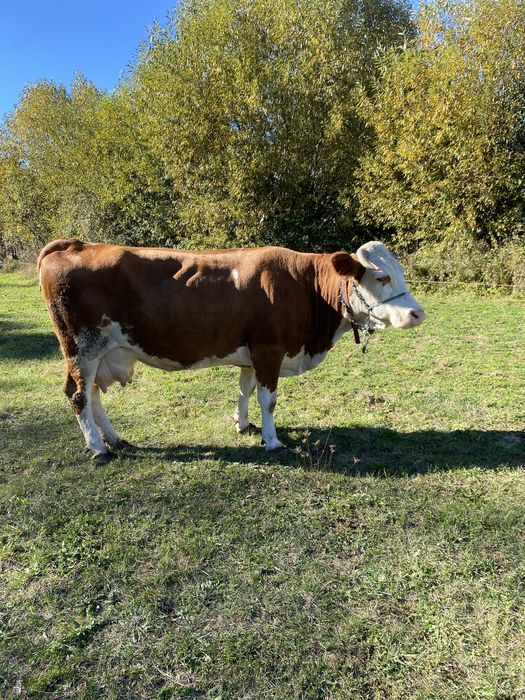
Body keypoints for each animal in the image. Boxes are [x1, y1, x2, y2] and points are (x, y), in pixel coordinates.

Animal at [38, 239, 425, 460]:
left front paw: (243, 424)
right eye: (381, 277)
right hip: (82, 347)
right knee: (78, 395)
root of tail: (78, 244)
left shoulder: (253, 353)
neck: (304, 285)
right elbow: (268, 399)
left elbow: (245, 390)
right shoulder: (269, 349)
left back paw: (114, 439)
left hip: (99, 352)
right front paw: (272, 440)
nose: (417, 313)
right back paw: (98, 448)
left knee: (92, 394)